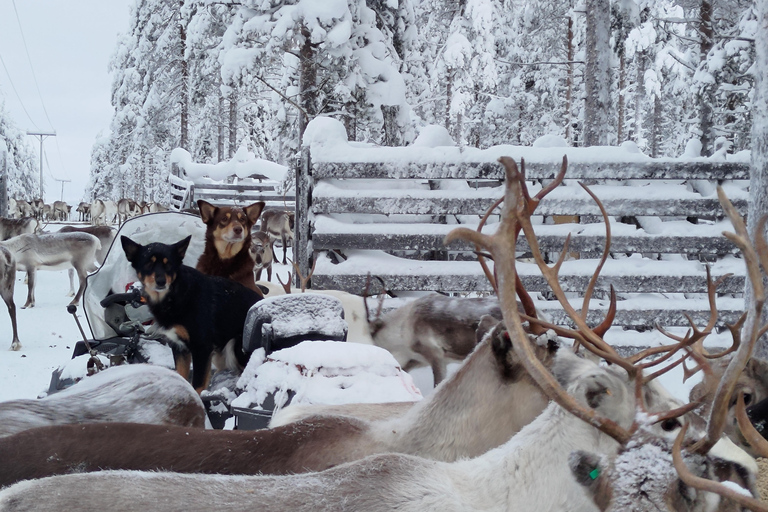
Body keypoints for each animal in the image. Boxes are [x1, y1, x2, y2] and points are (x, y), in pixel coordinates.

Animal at [121, 235, 262, 392]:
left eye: (169, 264)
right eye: (148, 264)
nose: (161, 281)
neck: (175, 294)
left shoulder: (202, 348)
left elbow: (197, 385)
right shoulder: (179, 347)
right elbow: (182, 377)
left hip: (236, 346)